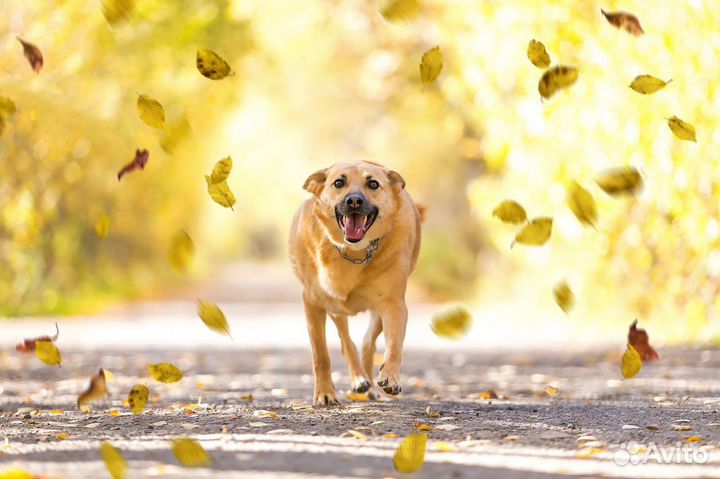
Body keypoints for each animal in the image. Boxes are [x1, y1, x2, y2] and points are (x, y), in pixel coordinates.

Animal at [286, 160, 422, 404]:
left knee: (367, 343)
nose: (354, 201)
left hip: (375, 312)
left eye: (373, 184)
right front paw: (325, 394)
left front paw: (390, 377)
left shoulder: (394, 304)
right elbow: (321, 354)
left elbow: (394, 344)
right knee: (346, 342)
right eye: (339, 182)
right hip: (335, 308)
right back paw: (358, 378)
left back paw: (369, 384)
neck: (354, 252)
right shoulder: (312, 302)